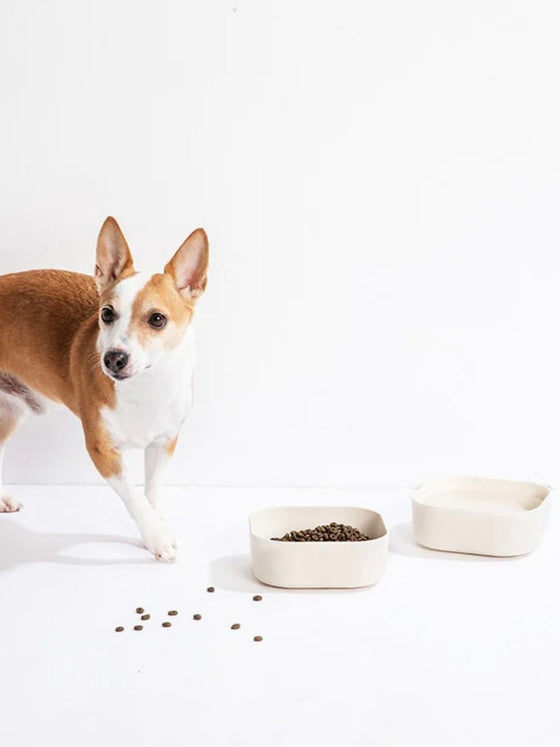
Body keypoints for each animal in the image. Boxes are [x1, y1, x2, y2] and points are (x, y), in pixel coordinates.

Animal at [0, 216, 209, 560]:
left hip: (8, 415)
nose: (113, 358)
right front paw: (157, 537)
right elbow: (135, 498)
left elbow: (151, 493)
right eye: (106, 314)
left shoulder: (163, 444)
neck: (144, 387)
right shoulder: (103, 452)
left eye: (157, 319)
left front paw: (158, 526)